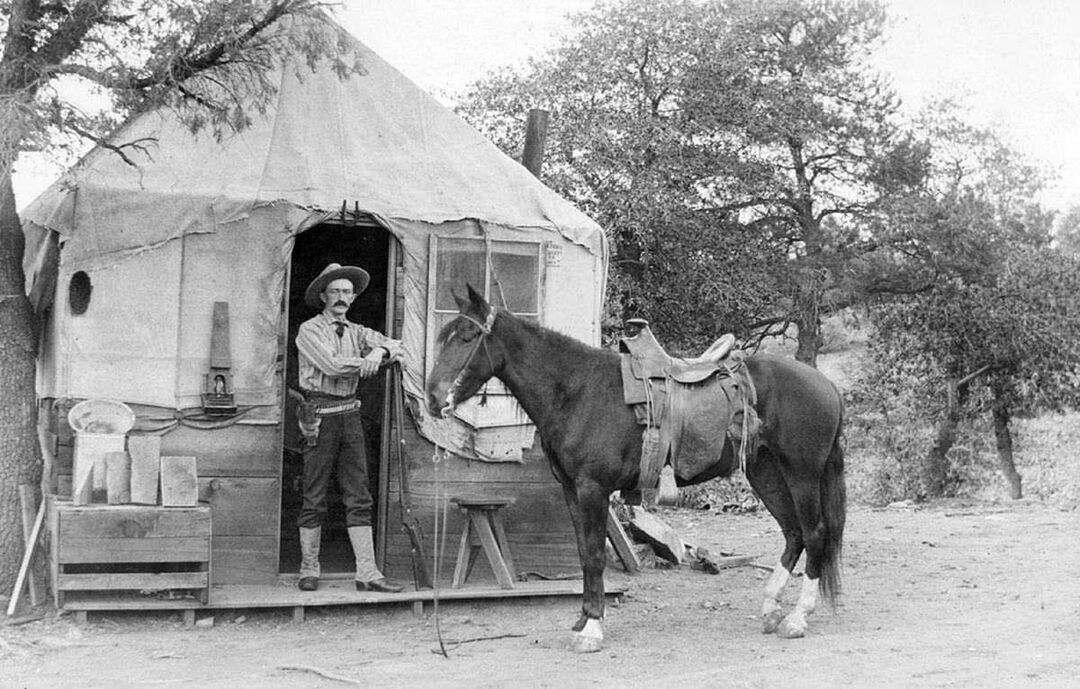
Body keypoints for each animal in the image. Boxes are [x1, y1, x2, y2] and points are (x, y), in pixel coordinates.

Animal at [425, 285, 846, 652]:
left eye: (466, 337)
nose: (432, 399)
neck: (576, 391)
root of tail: (827, 384)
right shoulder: (572, 491)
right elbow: (584, 554)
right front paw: (582, 620)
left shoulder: (593, 489)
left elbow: (595, 555)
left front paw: (592, 629)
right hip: (765, 472)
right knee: (793, 533)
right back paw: (771, 608)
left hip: (801, 472)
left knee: (814, 532)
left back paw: (797, 618)